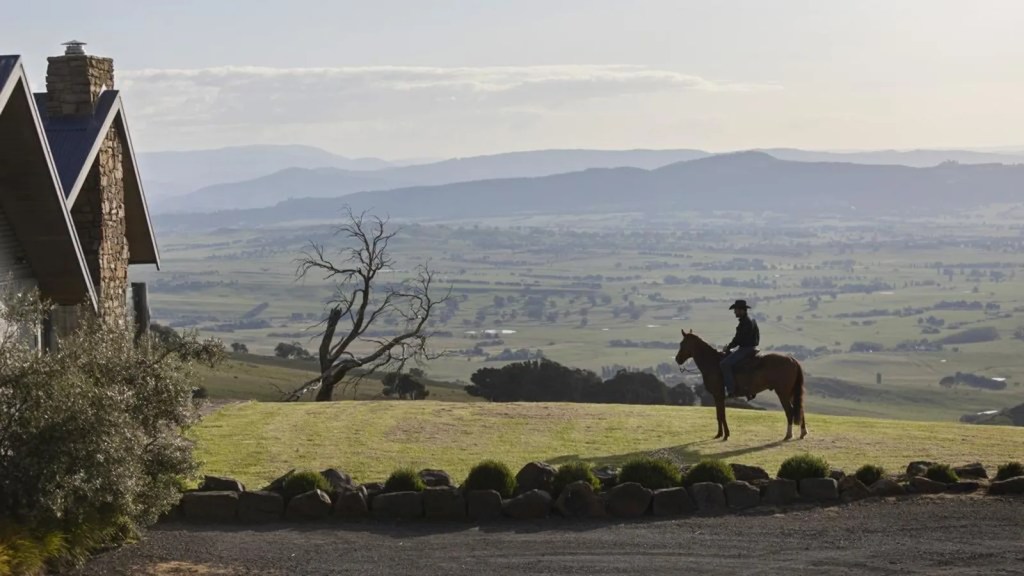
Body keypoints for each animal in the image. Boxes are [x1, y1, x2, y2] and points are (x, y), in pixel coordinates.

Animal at [674, 328, 807, 441]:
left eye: (682, 343)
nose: (677, 359)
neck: (713, 363)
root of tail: (792, 359)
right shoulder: (717, 397)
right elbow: (718, 415)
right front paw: (719, 434)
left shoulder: (719, 395)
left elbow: (722, 415)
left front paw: (726, 435)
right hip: (791, 393)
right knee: (799, 410)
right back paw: (803, 433)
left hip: (783, 393)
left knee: (790, 412)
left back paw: (788, 435)